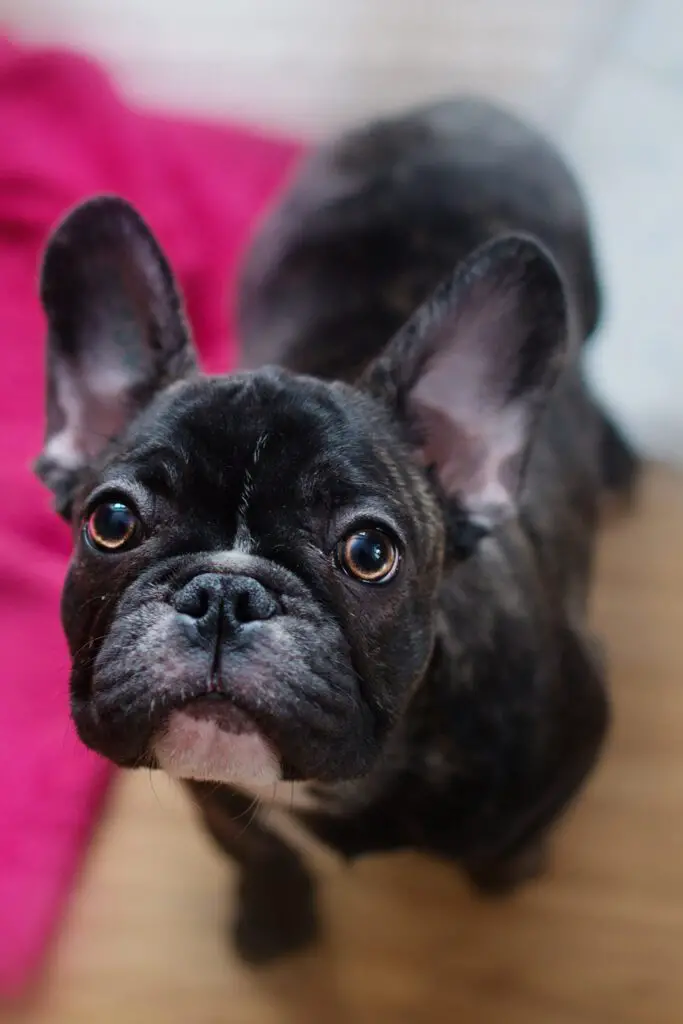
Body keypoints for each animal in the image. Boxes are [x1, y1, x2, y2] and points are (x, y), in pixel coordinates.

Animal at [36, 99, 634, 962]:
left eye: (369, 553)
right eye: (111, 523)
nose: (223, 594)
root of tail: (440, 109)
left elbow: (518, 836)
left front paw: (508, 869)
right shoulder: (206, 788)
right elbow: (253, 844)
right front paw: (273, 914)